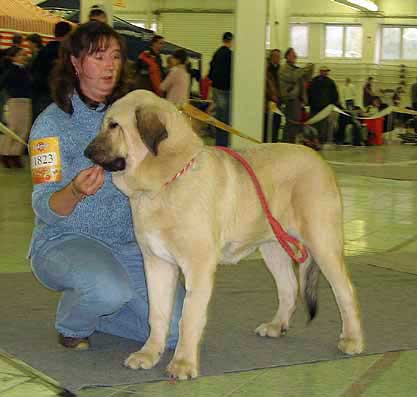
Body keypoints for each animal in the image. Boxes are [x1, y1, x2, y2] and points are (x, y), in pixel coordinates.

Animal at [83, 89, 360, 378]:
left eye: (114, 126)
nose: (86, 152)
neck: (166, 180)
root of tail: (320, 161)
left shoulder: (198, 266)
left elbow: (188, 316)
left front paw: (183, 363)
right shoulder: (157, 263)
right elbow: (157, 314)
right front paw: (149, 354)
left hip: (323, 243)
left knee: (345, 291)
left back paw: (352, 340)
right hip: (273, 248)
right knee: (289, 288)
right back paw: (276, 326)